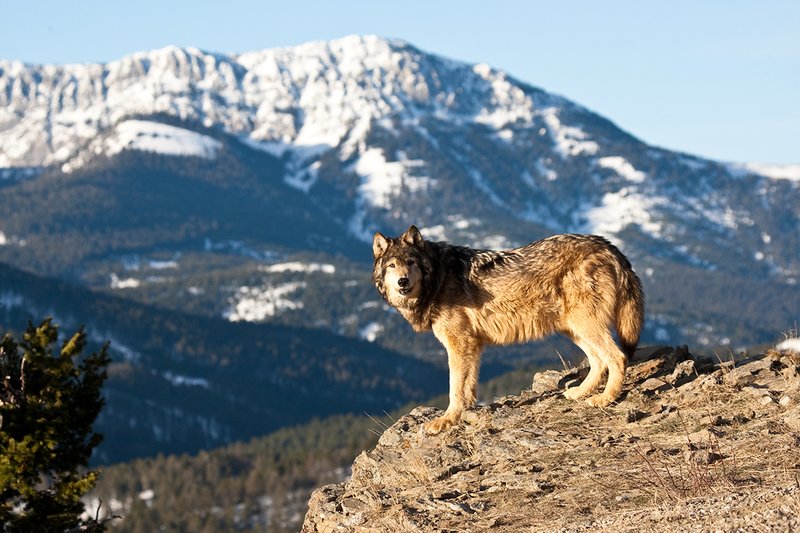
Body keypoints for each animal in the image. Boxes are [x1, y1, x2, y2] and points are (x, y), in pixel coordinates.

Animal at [372, 225, 645, 434]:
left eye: (410, 262)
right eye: (392, 266)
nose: (403, 282)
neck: (438, 278)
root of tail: (606, 245)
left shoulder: (459, 344)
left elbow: (454, 388)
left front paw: (447, 420)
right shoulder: (472, 346)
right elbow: (468, 386)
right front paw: (465, 412)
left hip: (585, 325)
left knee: (617, 357)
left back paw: (605, 398)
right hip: (575, 329)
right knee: (599, 361)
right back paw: (580, 393)